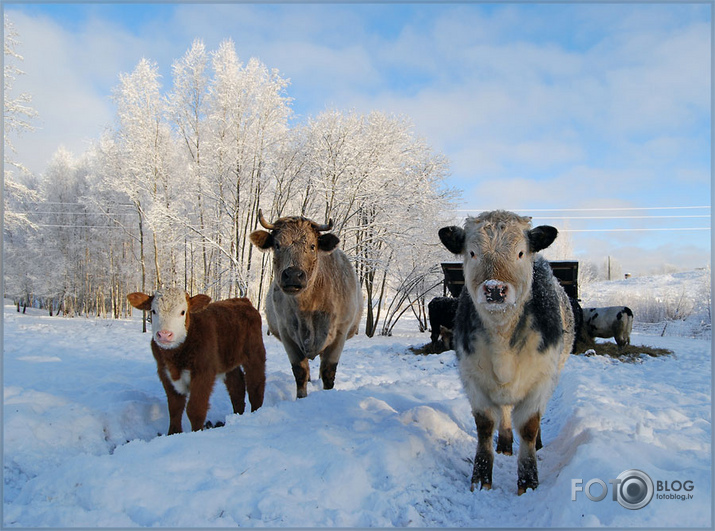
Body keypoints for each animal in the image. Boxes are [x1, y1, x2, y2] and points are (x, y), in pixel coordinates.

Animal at [126, 288, 266, 434]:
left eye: (183, 312)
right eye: (153, 311)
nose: (164, 334)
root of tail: (242, 300)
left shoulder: (203, 372)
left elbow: (195, 409)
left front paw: (196, 433)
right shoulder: (165, 372)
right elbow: (175, 407)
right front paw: (173, 433)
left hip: (255, 353)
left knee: (256, 386)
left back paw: (255, 414)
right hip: (229, 361)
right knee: (237, 388)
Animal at [252, 210, 364, 396]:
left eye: (312, 246)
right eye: (277, 245)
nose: (293, 274)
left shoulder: (339, 334)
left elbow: (328, 372)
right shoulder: (287, 334)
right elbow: (300, 371)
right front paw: (301, 397)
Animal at [436, 211, 576, 494]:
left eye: (520, 253)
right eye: (472, 252)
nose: (494, 289)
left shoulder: (541, 380)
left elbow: (530, 426)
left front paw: (528, 482)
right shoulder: (473, 379)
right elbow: (486, 425)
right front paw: (481, 478)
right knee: (505, 412)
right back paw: (504, 443)